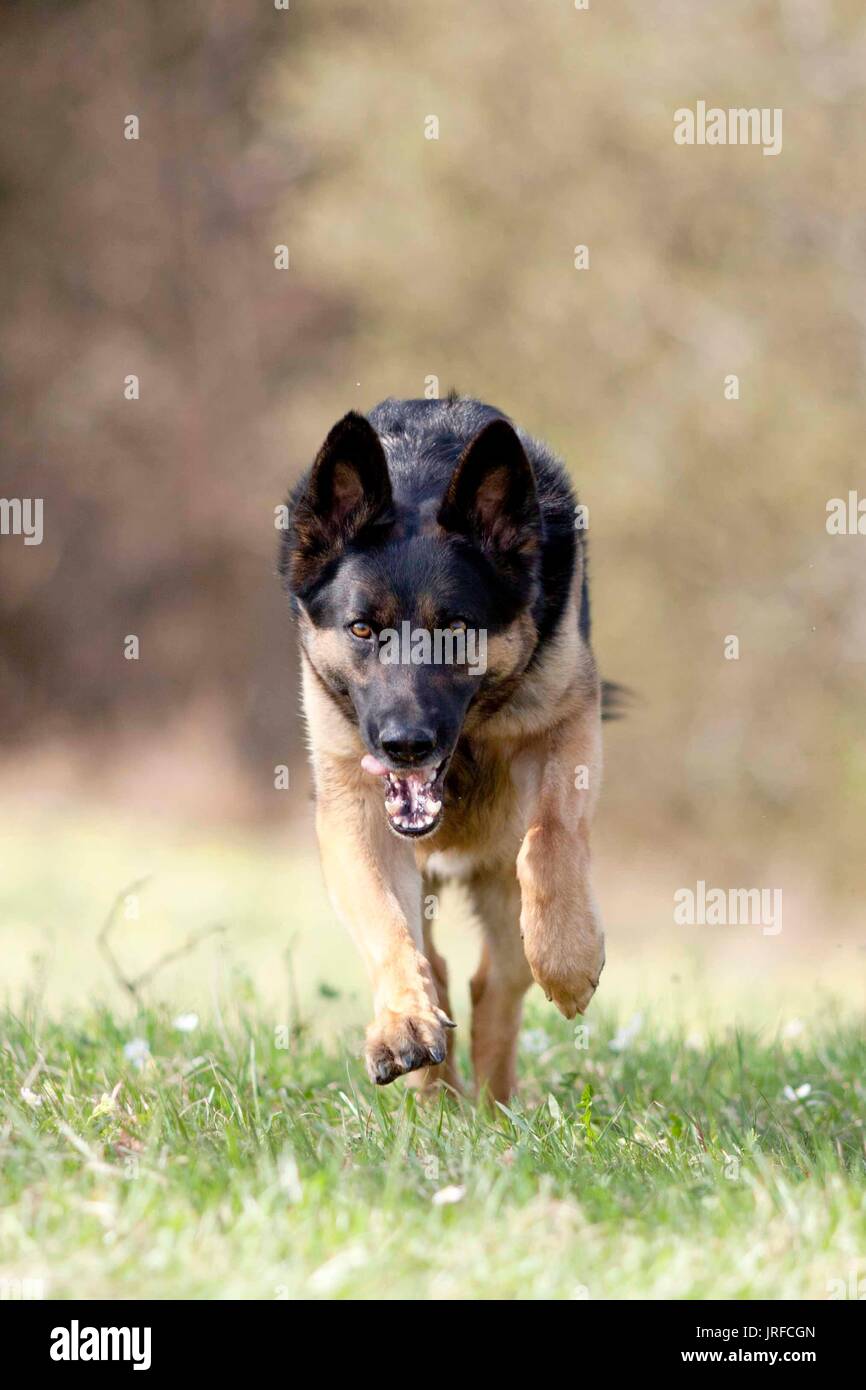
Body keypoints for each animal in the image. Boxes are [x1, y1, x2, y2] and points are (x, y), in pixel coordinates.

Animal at [280, 397, 606, 1100]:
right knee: (439, 965)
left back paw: (494, 1105)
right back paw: (440, 1097)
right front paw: (404, 1025)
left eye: (456, 629)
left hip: (503, 885)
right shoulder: (355, 808)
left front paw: (570, 961)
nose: (406, 745)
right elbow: (388, 926)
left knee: (497, 984)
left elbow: (551, 837)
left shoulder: (570, 722)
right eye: (361, 629)